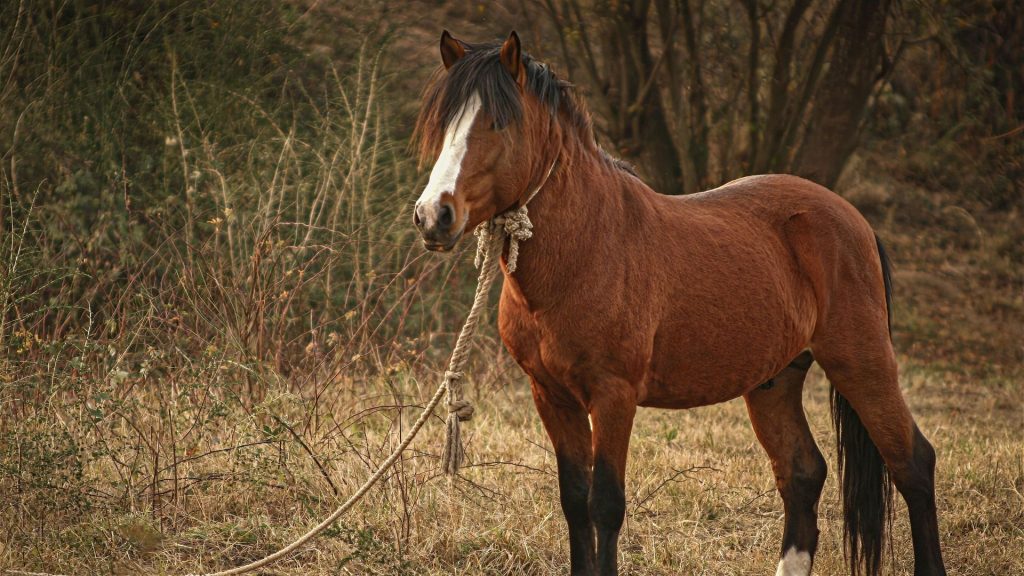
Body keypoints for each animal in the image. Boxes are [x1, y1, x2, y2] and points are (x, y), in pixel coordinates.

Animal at [412, 30, 946, 576]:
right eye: (444, 123)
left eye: (499, 123)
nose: (433, 216)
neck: (588, 248)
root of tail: (852, 218)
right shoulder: (551, 395)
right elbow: (574, 501)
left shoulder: (614, 395)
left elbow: (605, 505)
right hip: (774, 381)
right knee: (802, 473)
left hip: (862, 363)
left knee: (912, 464)